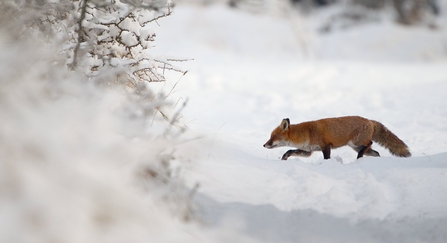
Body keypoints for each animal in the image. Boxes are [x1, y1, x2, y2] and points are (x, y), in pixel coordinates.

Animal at [262, 117, 412, 160]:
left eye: (272, 137)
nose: (264, 145)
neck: (306, 133)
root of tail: (370, 120)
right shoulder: (309, 151)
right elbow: (291, 151)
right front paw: (284, 157)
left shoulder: (326, 145)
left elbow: (326, 158)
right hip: (356, 146)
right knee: (376, 152)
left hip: (357, 142)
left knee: (370, 143)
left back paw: (360, 156)